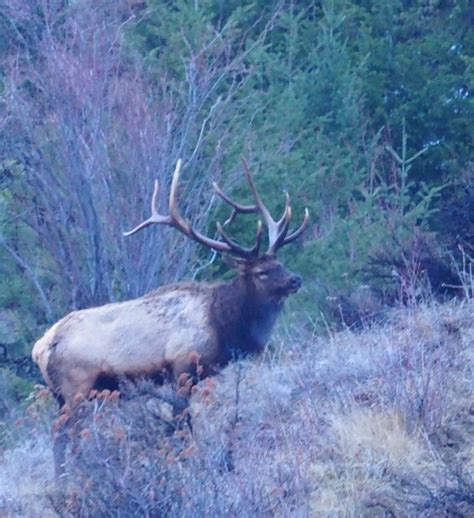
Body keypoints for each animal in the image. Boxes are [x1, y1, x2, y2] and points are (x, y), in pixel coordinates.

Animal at [31, 158, 310, 480]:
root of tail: (40, 347)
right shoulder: (181, 365)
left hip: (61, 394)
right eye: (262, 272)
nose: (295, 279)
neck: (222, 325)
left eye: (280, 262)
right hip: (76, 386)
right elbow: (181, 422)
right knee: (63, 433)